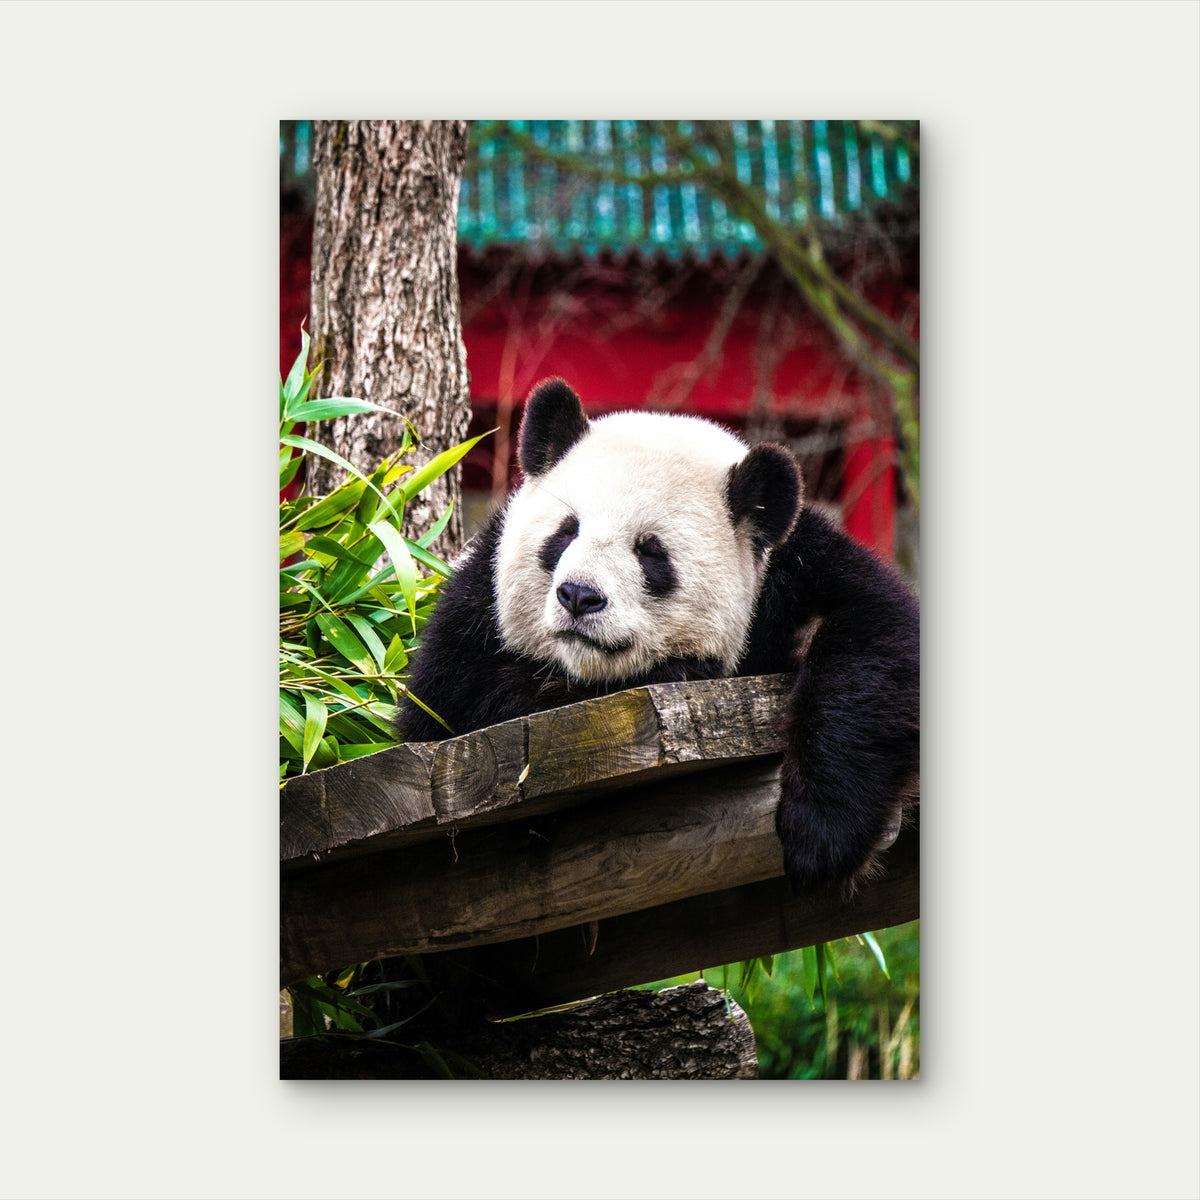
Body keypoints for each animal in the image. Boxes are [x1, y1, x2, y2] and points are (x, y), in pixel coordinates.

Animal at [399, 378, 919, 893]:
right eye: (567, 532)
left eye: (651, 552)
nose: (579, 596)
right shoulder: (473, 609)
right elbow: (453, 703)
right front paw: (683, 670)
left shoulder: (795, 570)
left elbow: (876, 639)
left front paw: (821, 837)